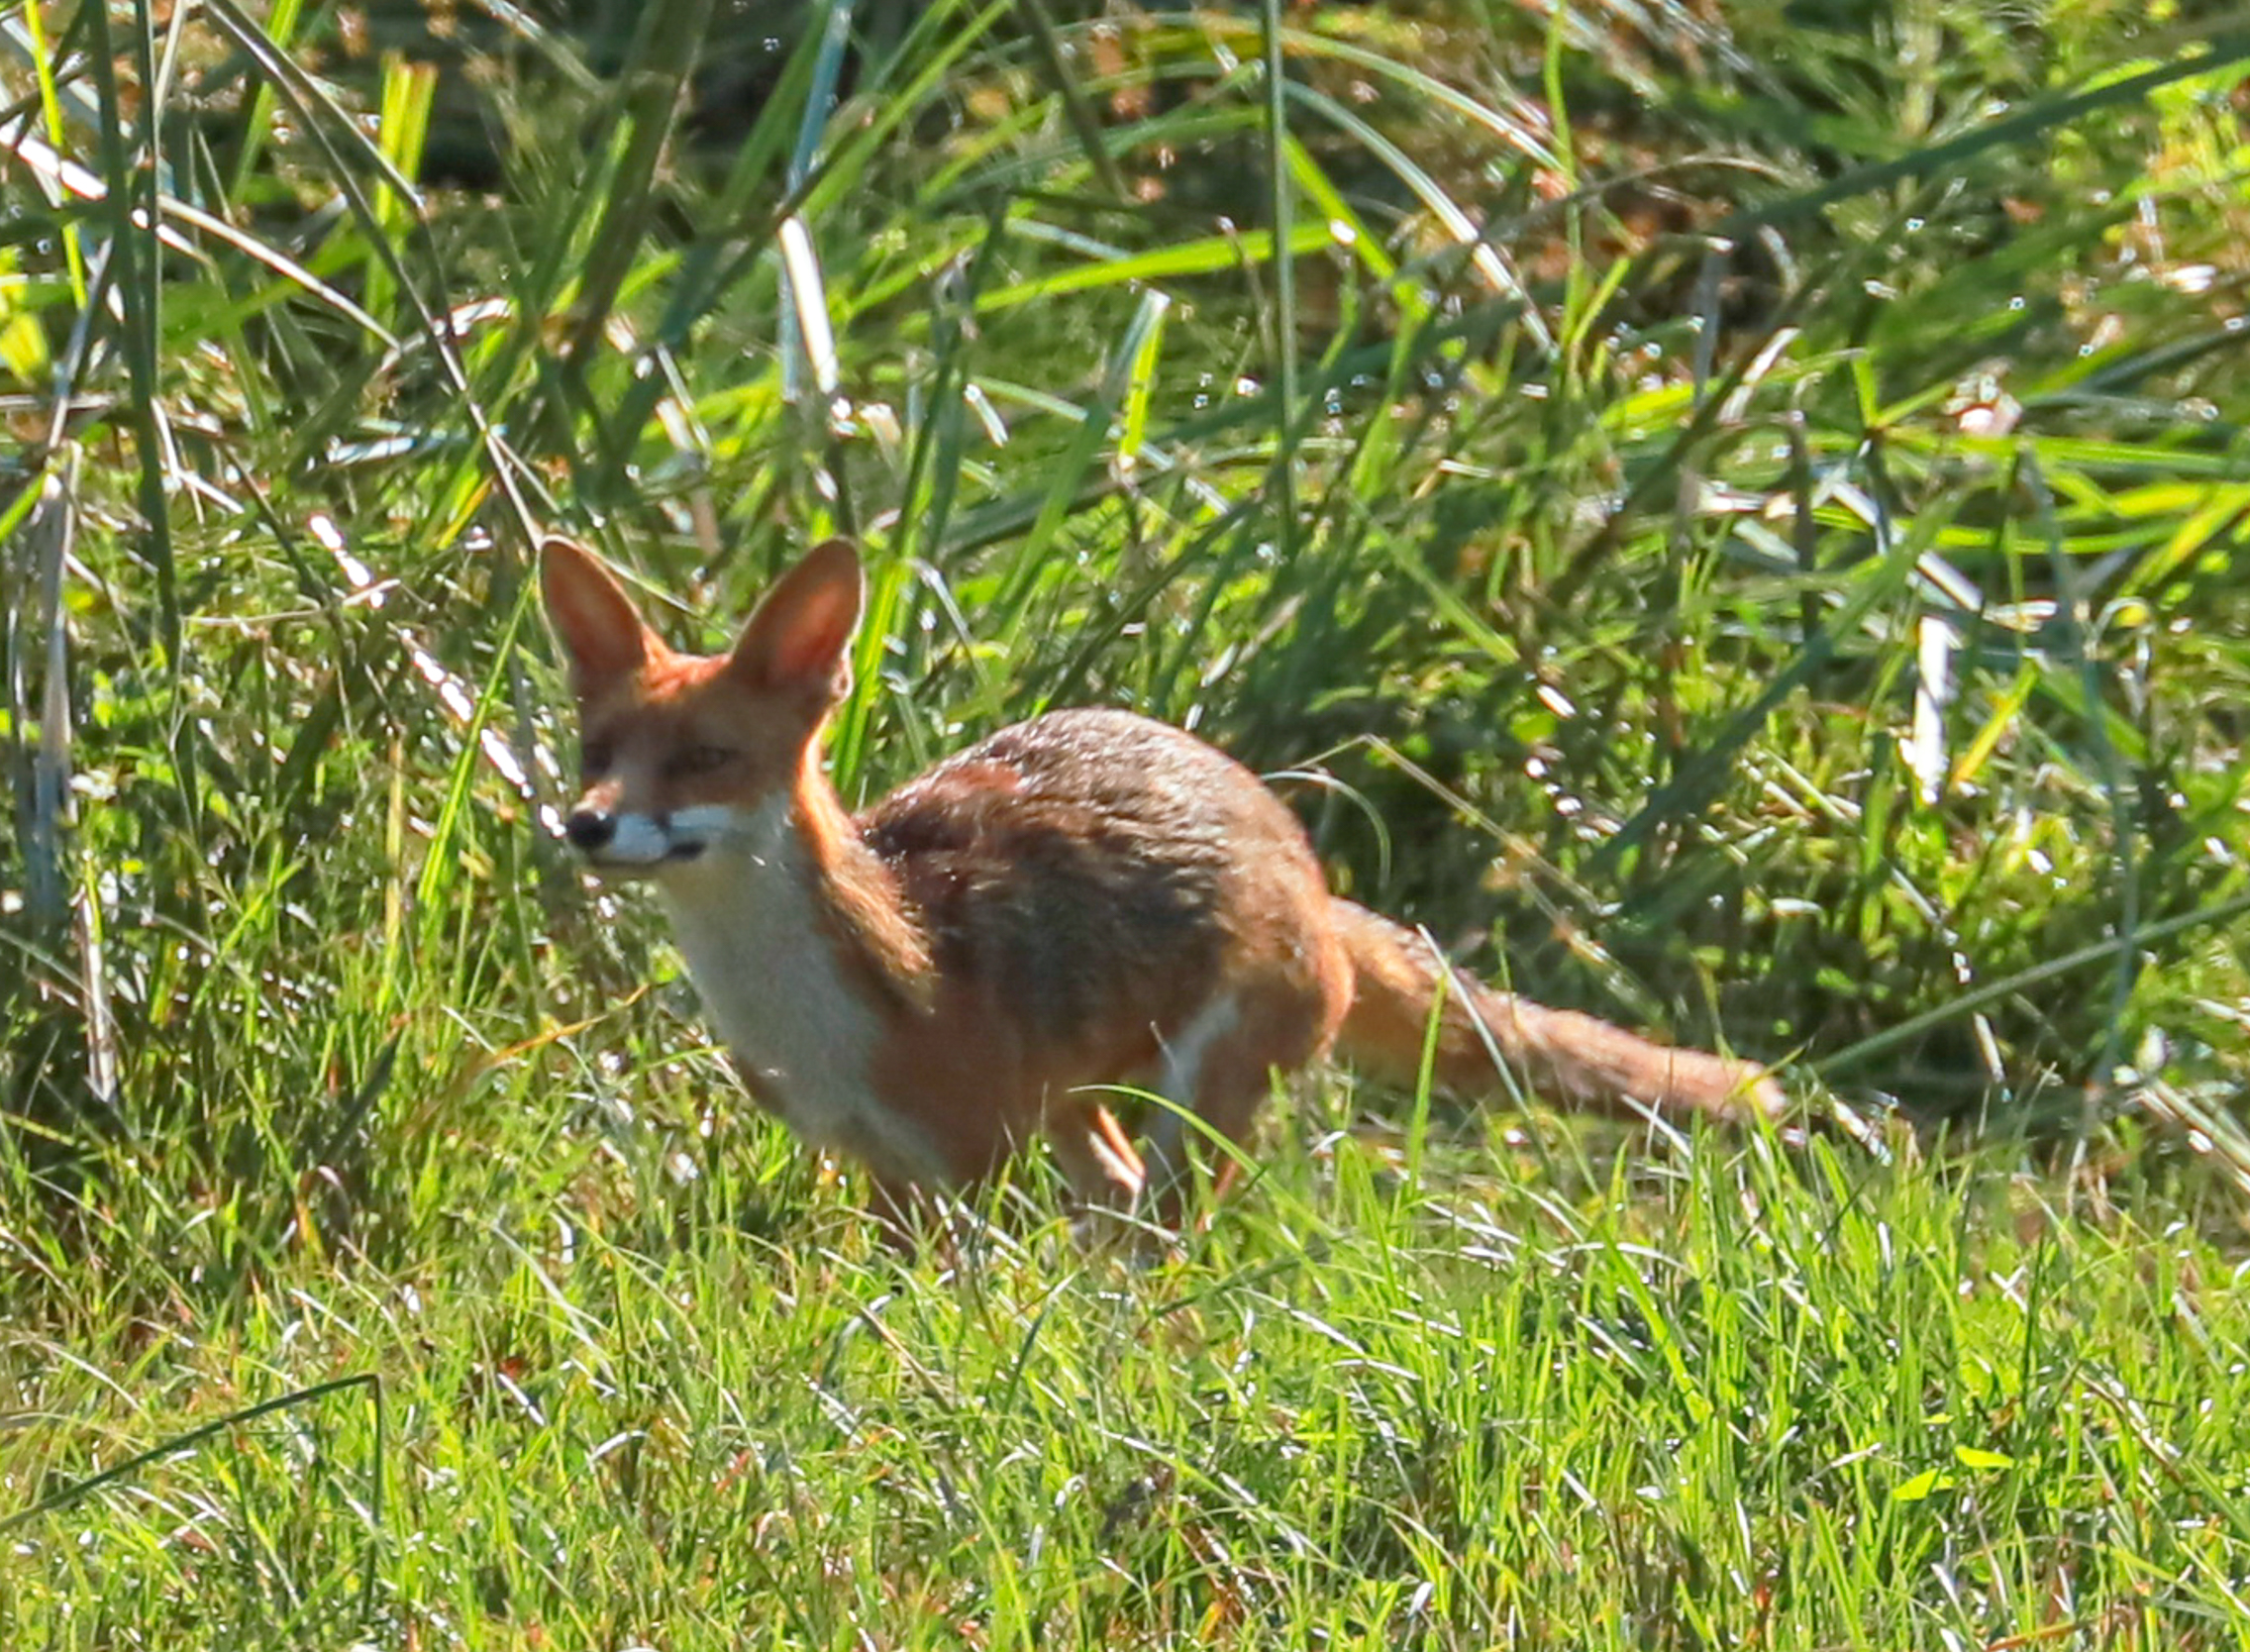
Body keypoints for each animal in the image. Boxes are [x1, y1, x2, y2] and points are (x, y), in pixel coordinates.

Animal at [539, 535, 1784, 1226]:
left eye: (706, 758)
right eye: (598, 748)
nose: (586, 825)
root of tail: (1302, 857)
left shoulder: (969, 1162)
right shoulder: (882, 1164)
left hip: (1194, 1105)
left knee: (1160, 1234)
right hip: (1082, 1112)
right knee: (1121, 1204)